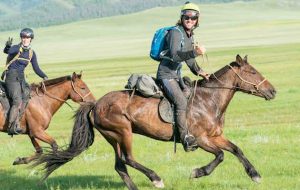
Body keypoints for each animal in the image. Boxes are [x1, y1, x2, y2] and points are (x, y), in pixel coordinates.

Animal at [33, 54, 276, 189]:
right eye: (252, 72)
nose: (273, 91)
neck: (209, 99)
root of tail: (95, 104)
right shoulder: (201, 140)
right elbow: (220, 156)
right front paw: (197, 173)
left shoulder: (216, 137)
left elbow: (236, 149)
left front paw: (255, 175)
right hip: (123, 132)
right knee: (128, 159)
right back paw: (156, 178)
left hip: (114, 138)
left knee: (120, 166)